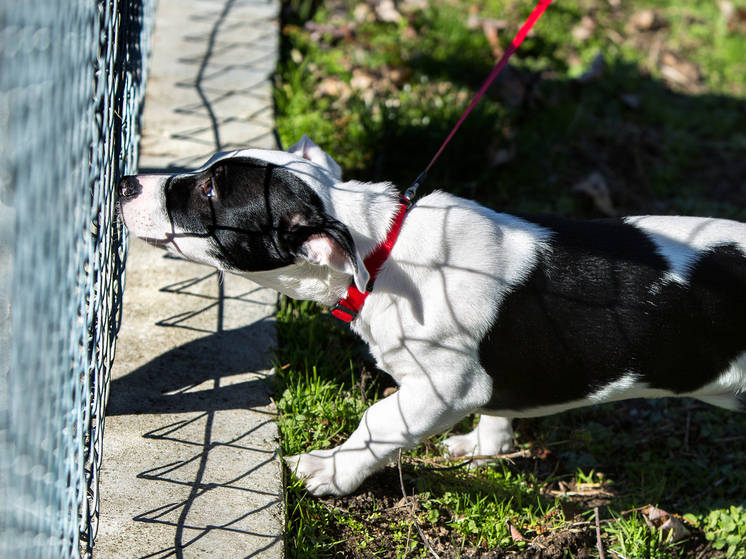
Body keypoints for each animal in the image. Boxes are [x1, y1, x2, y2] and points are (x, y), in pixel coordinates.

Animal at [117, 137, 744, 498]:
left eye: (209, 192)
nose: (124, 181)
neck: (381, 247)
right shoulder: (480, 384)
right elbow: (497, 408)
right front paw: (485, 446)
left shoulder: (442, 387)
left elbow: (377, 423)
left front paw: (328, 472)